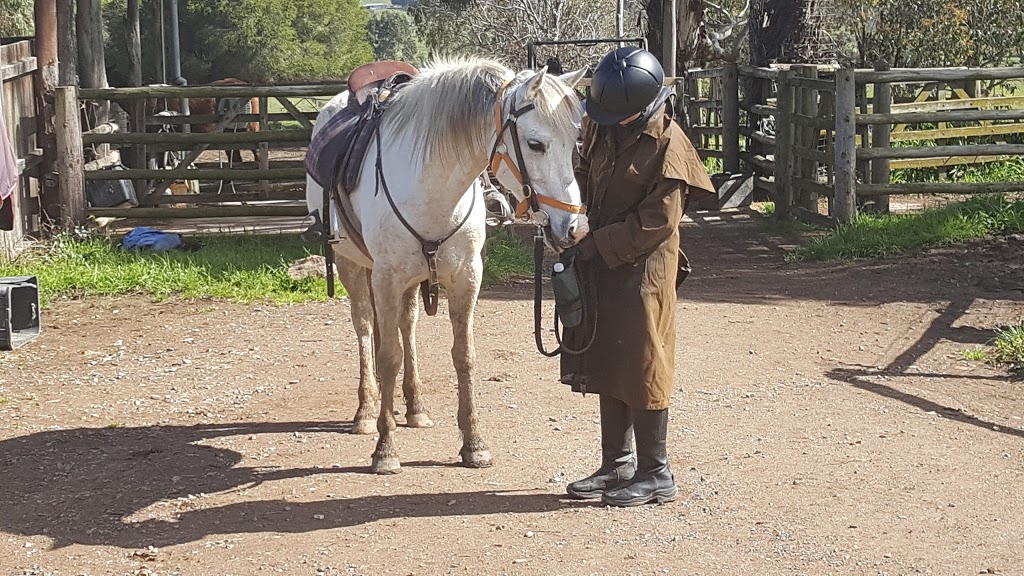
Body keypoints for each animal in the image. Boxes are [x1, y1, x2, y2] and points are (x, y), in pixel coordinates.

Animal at [303, 56, 589, 473]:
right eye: (535, 144)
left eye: (574, 143)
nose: (574, 228)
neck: (433, 187)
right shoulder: (386, 278)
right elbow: (387, 357)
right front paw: (385, 451)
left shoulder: (467, 278)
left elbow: (463, 356)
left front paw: (474, 444)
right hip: (352, 266)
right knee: (365, 327)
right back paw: (367, 412)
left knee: (406, 327)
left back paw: (415, 407)